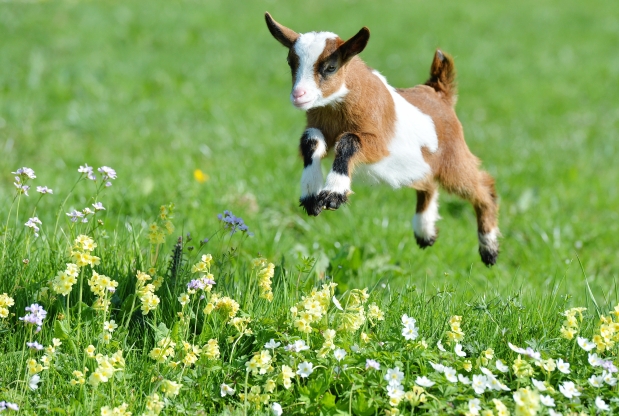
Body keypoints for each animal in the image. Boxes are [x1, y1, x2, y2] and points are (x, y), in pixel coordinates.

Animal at [265, 12, 500, 266]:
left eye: (330, 67)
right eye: (291, 63)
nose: (299, 95)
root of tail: (439, 92)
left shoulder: (378, 144)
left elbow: (349, 141)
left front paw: (334, 194)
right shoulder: (319, 127)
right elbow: (311, 140)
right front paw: (311, 195)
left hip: (452, 158)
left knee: (482, 187)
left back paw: (489, 248)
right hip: (419, 164)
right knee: (428, 184)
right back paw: (425, 232)